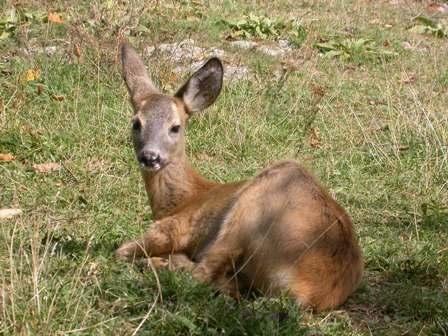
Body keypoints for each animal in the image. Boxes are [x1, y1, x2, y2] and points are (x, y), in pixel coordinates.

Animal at [116, 43, 364, 312]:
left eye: (175, 127)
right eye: (136, 123)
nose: (150, 157)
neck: (184, 198)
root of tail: (309, 292)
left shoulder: (178, 226)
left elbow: (124, 248)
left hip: (253, 205)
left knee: (204, 273)